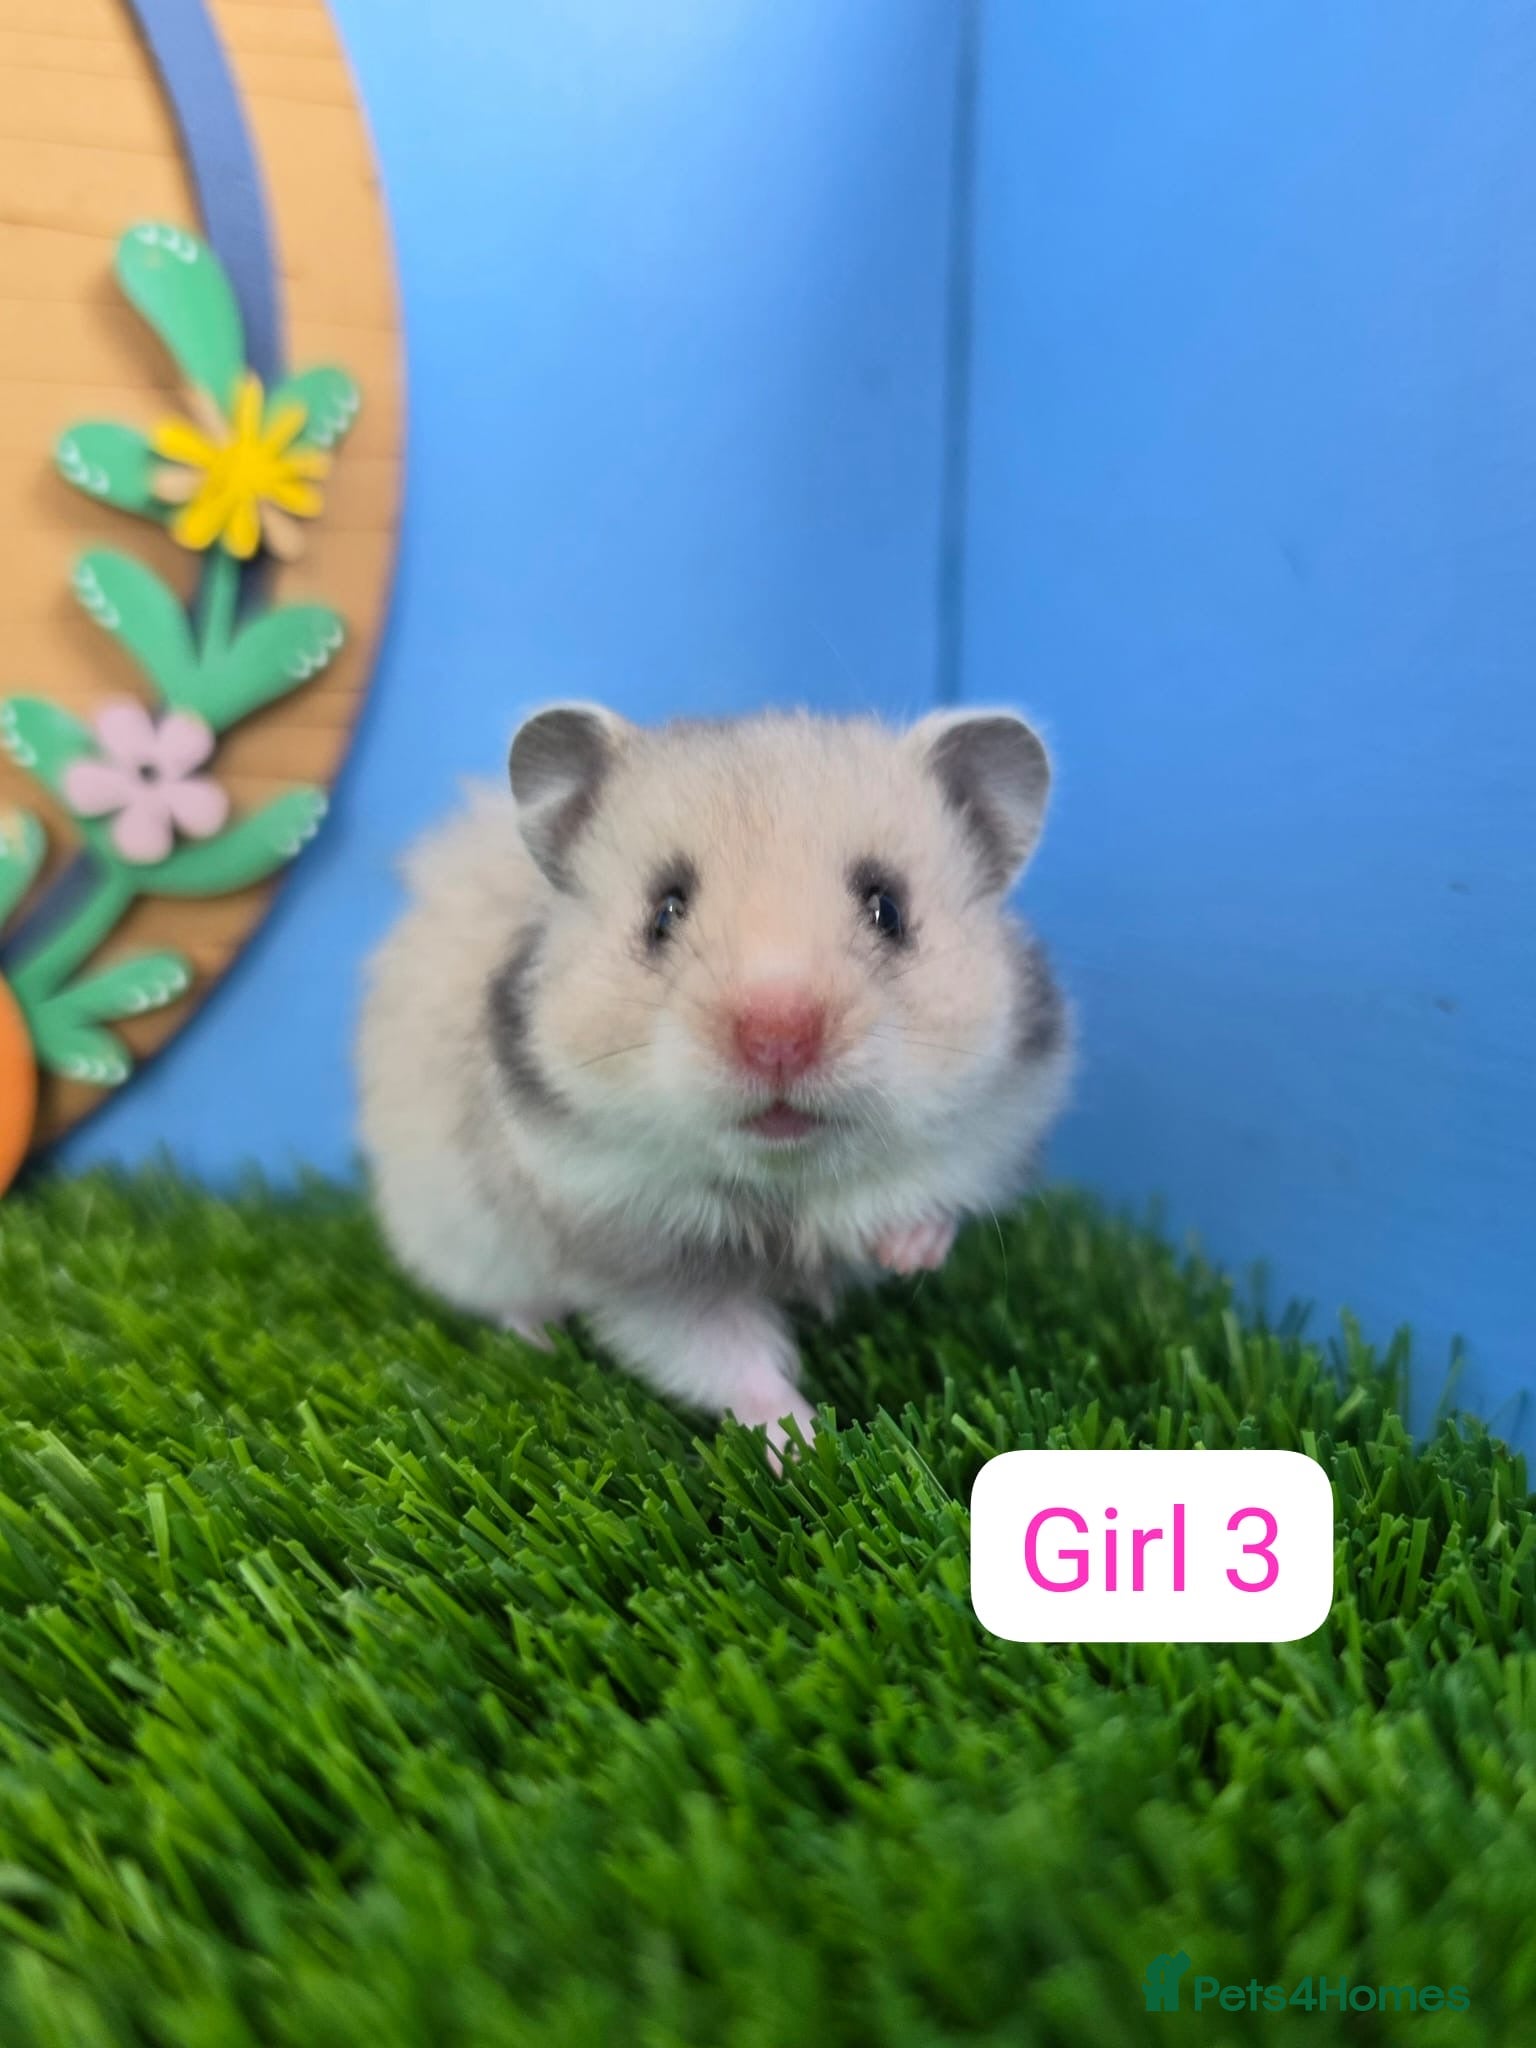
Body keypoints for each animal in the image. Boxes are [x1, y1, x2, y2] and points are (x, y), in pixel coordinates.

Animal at [357, 704, 1073, 1465]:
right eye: (664, 911)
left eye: (889, 909)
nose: (778, 1036)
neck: (784, 1182)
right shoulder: (649, 1267)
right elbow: (729, 1360)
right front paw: (812, 1447)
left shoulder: (980, 1134)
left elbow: (925, 1197)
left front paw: (906, 1254)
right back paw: (539, 1339)